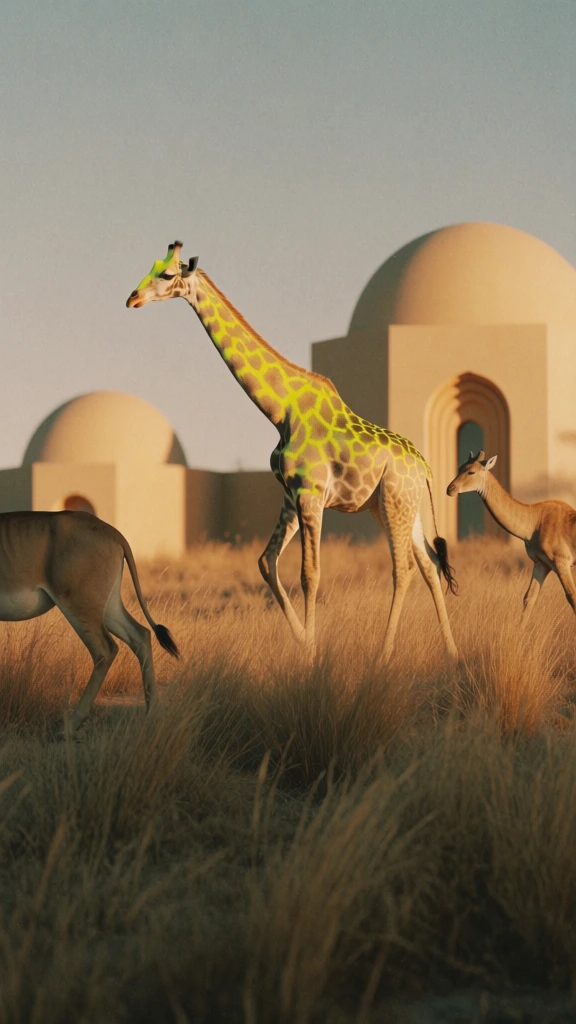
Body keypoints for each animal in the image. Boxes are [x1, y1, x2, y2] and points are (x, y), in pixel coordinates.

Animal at [127, 242, 458, 659]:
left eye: (168, 274)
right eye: (151, 265)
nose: (132, 298)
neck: (280, 410)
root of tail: (426, 470)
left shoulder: (310, 493)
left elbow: (309, 574)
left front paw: (312, 652)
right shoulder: (289, 494)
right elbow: (265, 561)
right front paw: (302, 640)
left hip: (395, 503)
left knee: (404, 569)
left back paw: (384, 655)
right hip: (395, 507)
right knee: (429, 564)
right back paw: (453, 652)